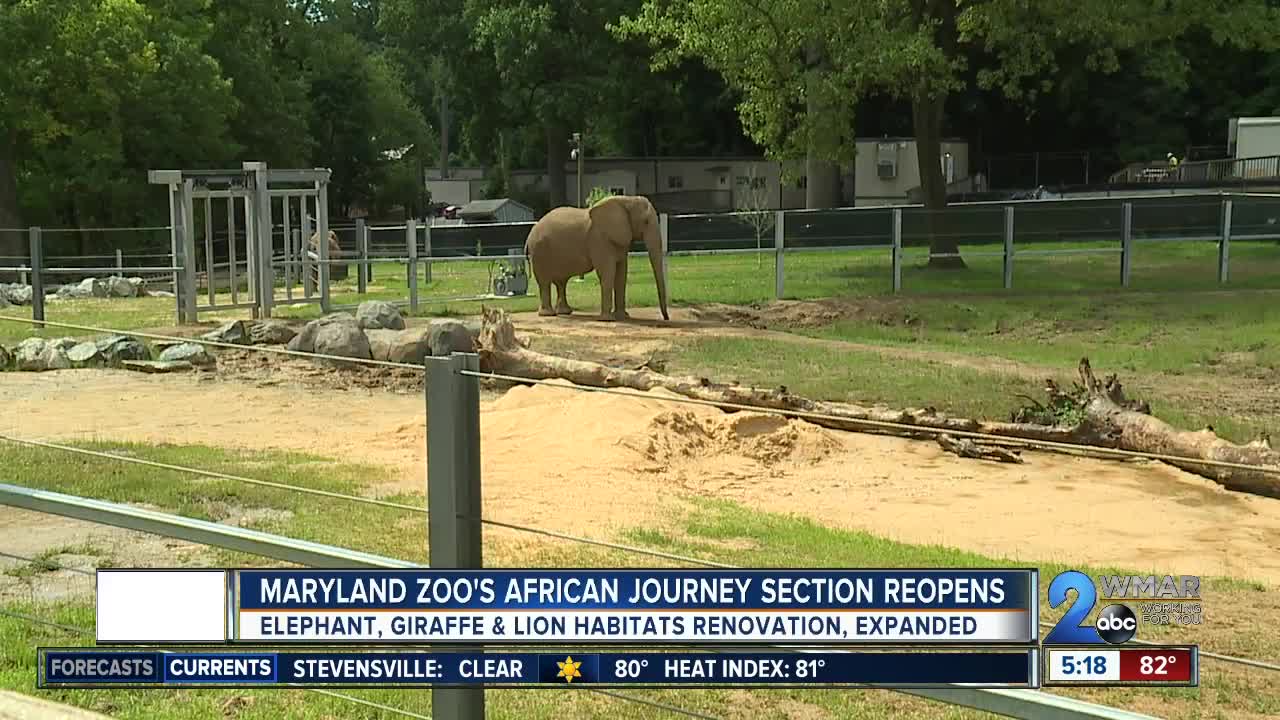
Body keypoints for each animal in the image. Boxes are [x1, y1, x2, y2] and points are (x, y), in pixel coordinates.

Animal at [524, 194, 675, 320]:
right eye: (646, 221)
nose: (666, 318)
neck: (626, 200)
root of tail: (529, 236)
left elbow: (621, 274)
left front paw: (623, 317)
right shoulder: (599, 240)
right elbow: (607, 272)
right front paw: (608, 319)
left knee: (561, 282)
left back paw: (565, 312)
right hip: (539, 251)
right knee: (544, 281)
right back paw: (548, 314)